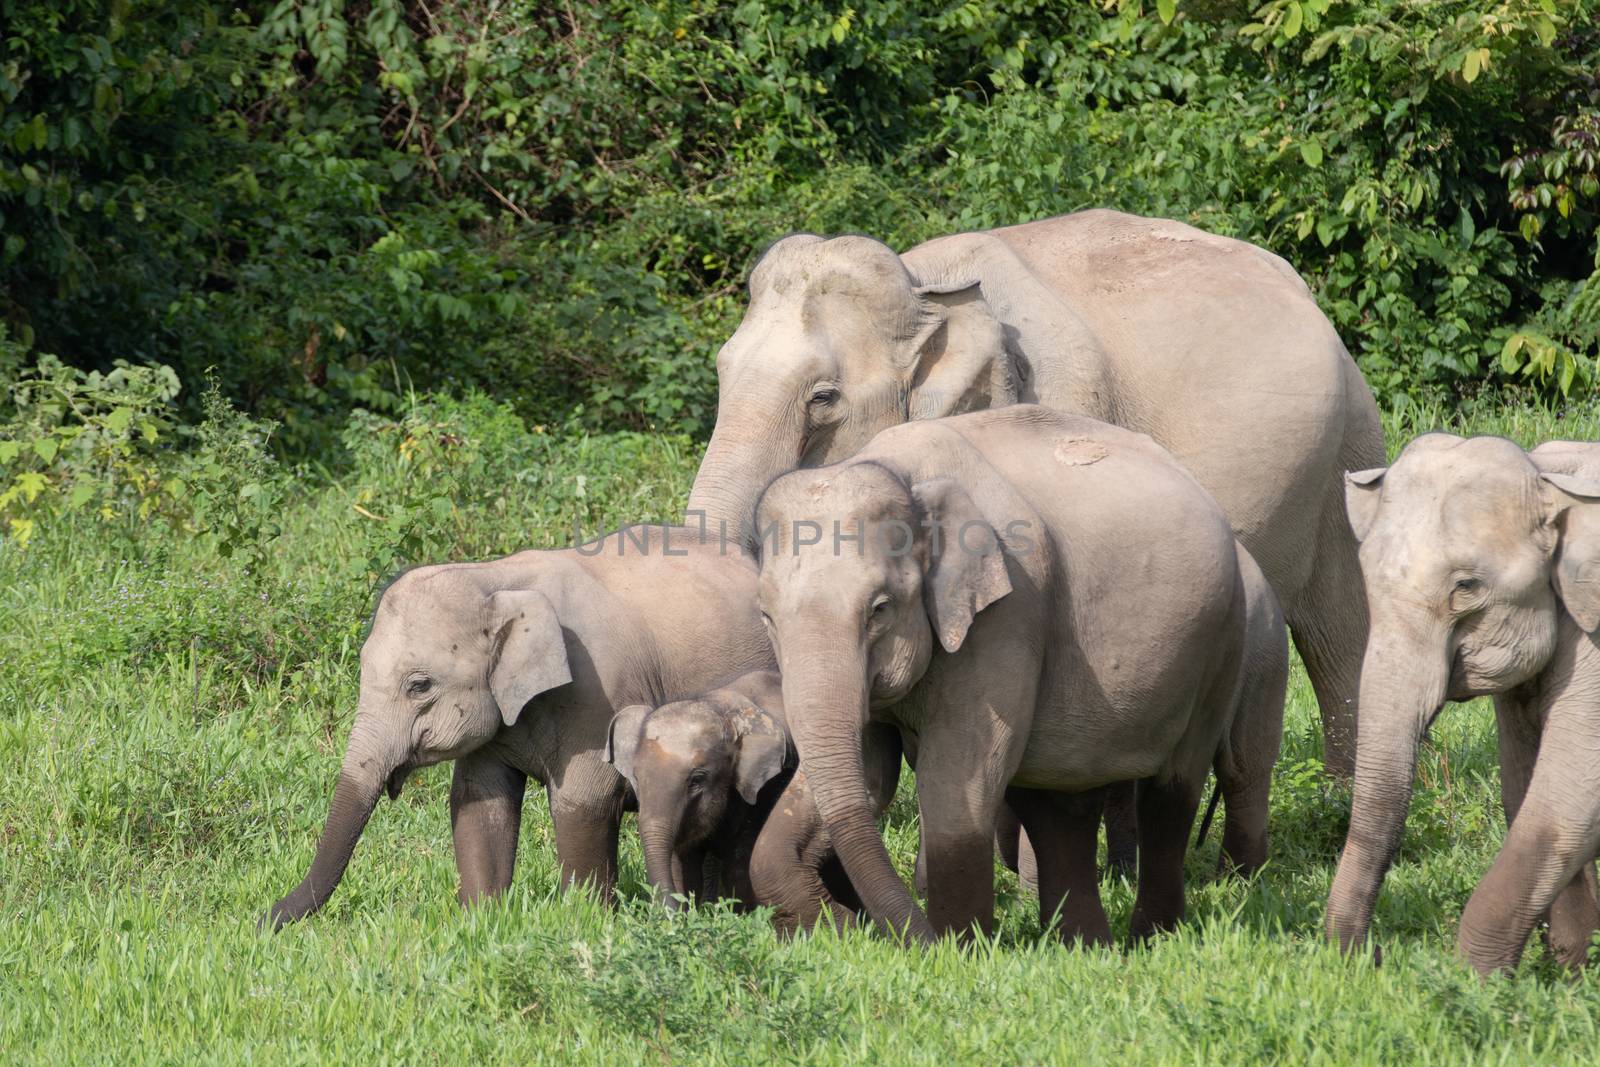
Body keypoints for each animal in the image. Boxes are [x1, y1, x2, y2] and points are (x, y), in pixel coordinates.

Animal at [259, 531, 771, 927]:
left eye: (419, 686)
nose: (260, 922)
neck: (495, 579)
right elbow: (478, 799)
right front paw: (480, 921)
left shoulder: (599, 691)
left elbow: (583, 799)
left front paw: (583, 922)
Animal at [688, 207, 1388, 780]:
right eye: (720, 369)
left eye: (823, 399)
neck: (927, 286)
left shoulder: (1063, 401)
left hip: (1348, 446)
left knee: (1341, 627)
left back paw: (1339, 793)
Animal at [748, 403, 1273, 940]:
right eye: (766, 615)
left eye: (879, 609)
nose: (854, 923)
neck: (903, 474)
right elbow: (870, 774)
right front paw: (823, 923)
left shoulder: (1008, 613)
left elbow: (957, 778)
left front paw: (957, 948)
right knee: (1062, 803)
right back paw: (1084, 945)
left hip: (1219, 644)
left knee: (1172, 792)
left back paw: (1151, 937)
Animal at [1318, 435, 1600, 979]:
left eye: (1467, 586)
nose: (1375, 954)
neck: (1551, 481)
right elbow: (1523, 786)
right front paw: (1566, 975)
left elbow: (1567, 796)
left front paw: (1475, 981)